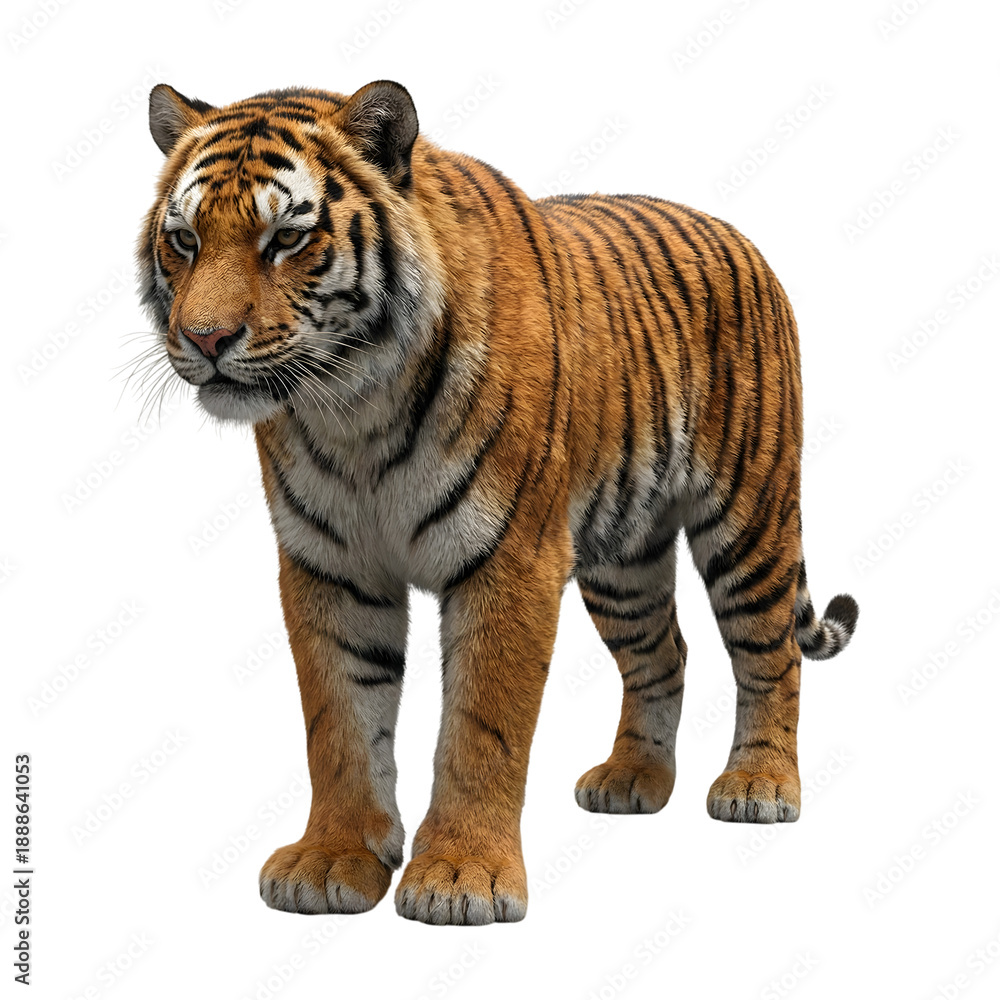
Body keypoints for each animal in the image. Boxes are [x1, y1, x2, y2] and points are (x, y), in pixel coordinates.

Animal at [136, 79, 859, 925]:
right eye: (184, 240)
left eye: (285, 239)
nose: (204, 339)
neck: (354, 410)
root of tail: (737, 235)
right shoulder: (330, 567)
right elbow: (339, 720)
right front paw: (332, 859)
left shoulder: (509, 558)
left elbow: (482, 726)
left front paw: (460, 876)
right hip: (623, 559)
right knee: (664, 653)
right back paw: (634, 780)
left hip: (749, 516)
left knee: (770, 652)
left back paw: (759, 785)